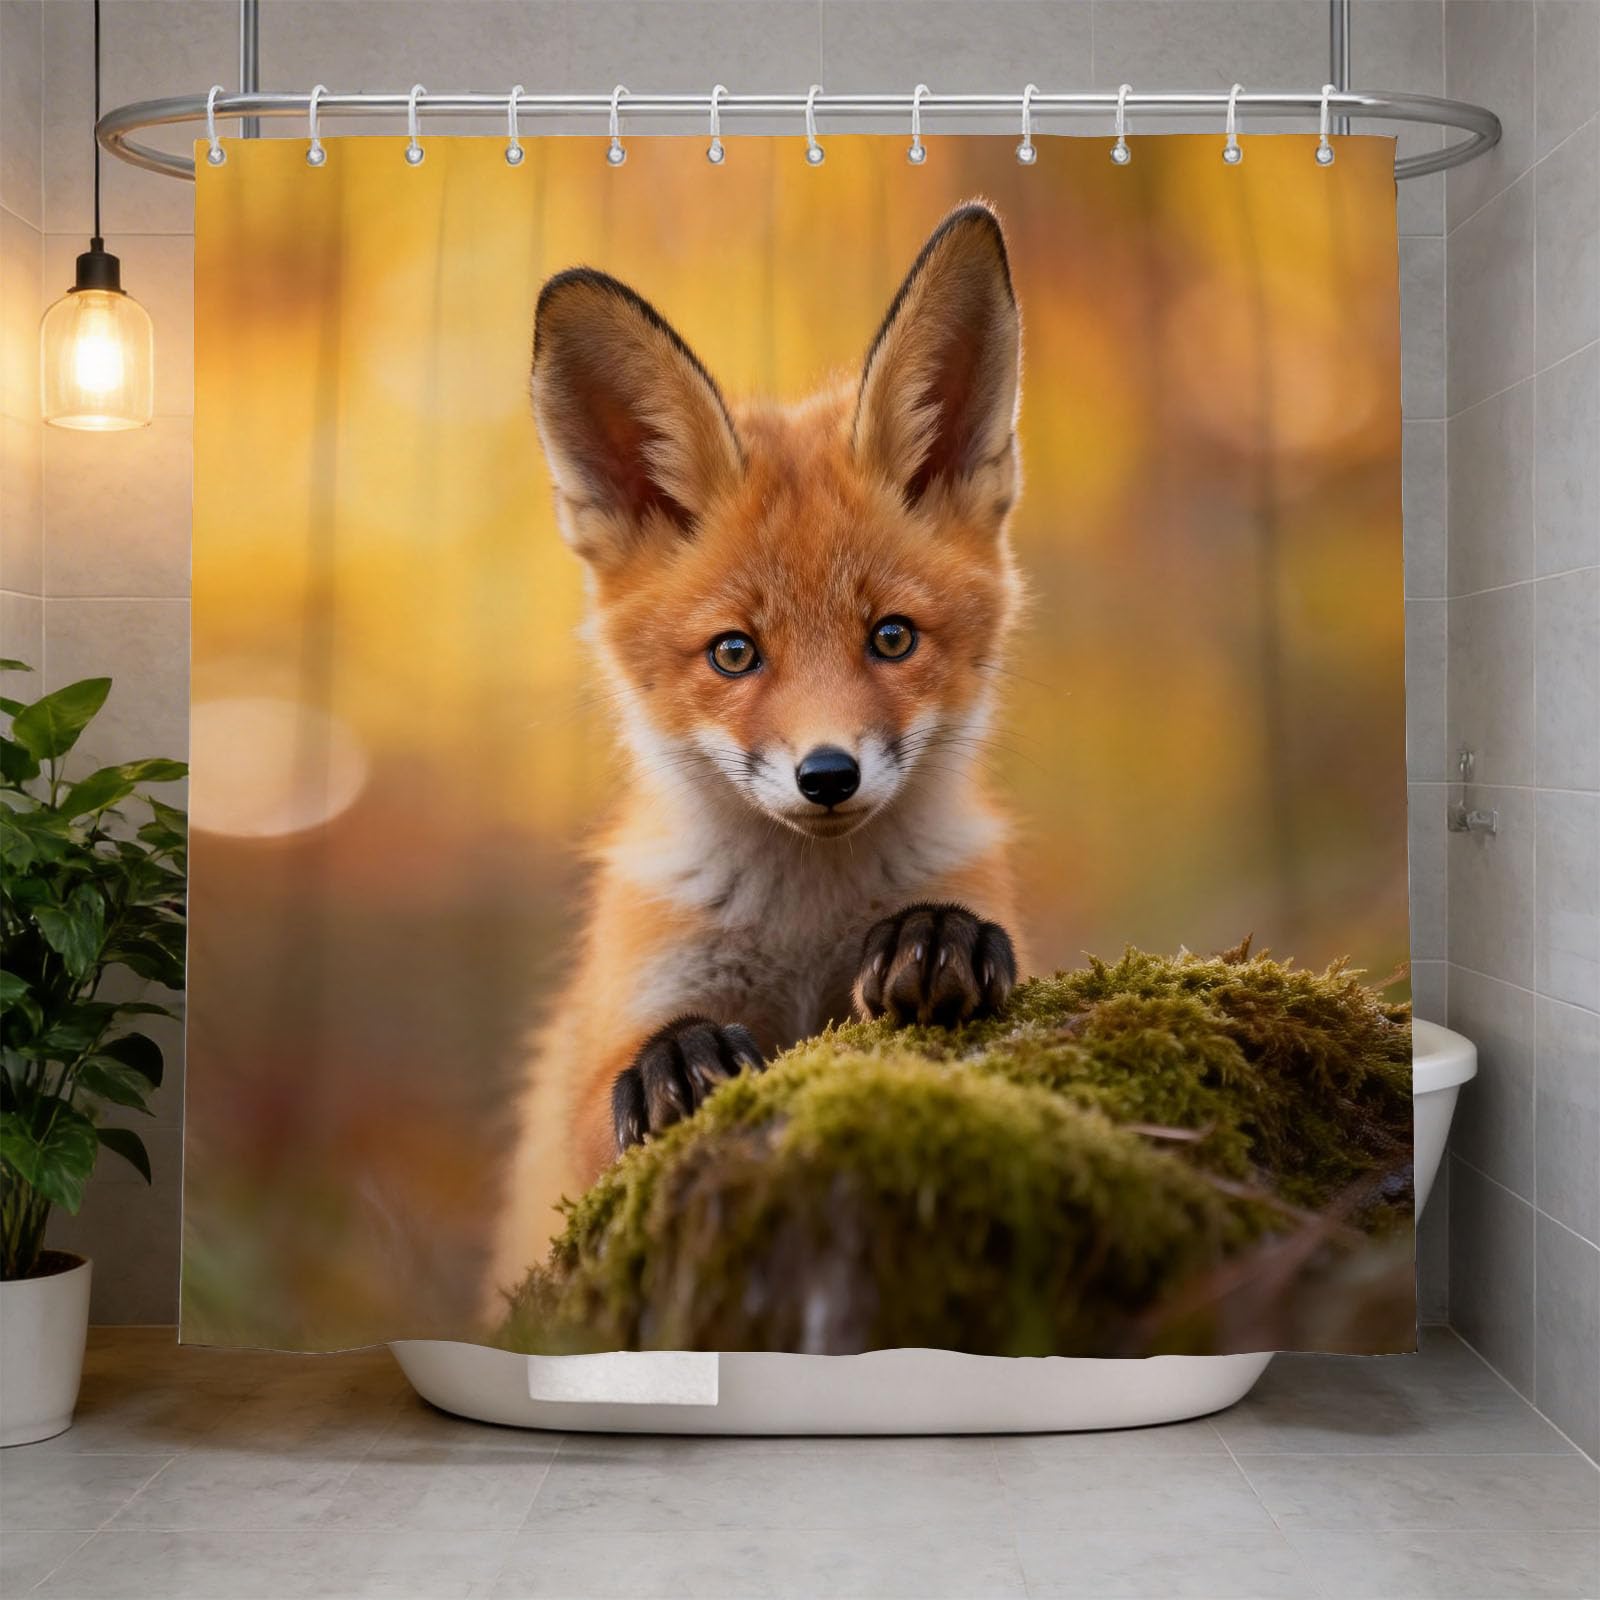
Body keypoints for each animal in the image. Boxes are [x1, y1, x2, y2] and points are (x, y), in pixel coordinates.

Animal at [485, 201, 1030, 1309]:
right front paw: (679, 1058)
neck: (804, 927)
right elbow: (623, 1085)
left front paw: (939, 936)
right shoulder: (594, 1081)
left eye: (892, 638)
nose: (827, 776)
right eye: (735, 653)